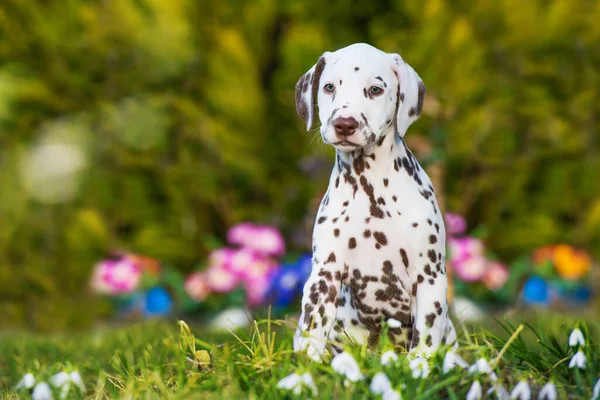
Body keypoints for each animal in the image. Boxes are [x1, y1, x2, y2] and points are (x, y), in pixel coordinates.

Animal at [292, 42, 458, 360]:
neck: (368, 187)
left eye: (375, 90)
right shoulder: (324, 275)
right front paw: (306, 365)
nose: (344, 124)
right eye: (329, 87)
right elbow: (312, 328)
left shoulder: (429, 277)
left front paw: (418, 365)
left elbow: (425, 335)